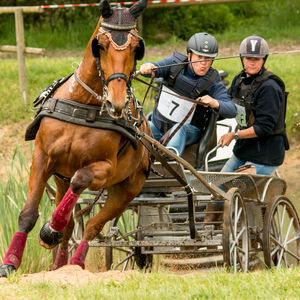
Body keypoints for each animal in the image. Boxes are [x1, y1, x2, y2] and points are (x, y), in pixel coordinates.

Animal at [0, 0, 150, 276]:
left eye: (136, 48)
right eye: (100, 45)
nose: (116, 103)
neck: (84, 105)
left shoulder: (104, 168)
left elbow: (80, 180)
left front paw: (50, 229)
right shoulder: (42, 158)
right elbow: (28, 214)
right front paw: (10, 262)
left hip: (126, 190)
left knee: (92, 226)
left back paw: (77, 262)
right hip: (61, 180)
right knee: (72, 224)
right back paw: (59, 265)